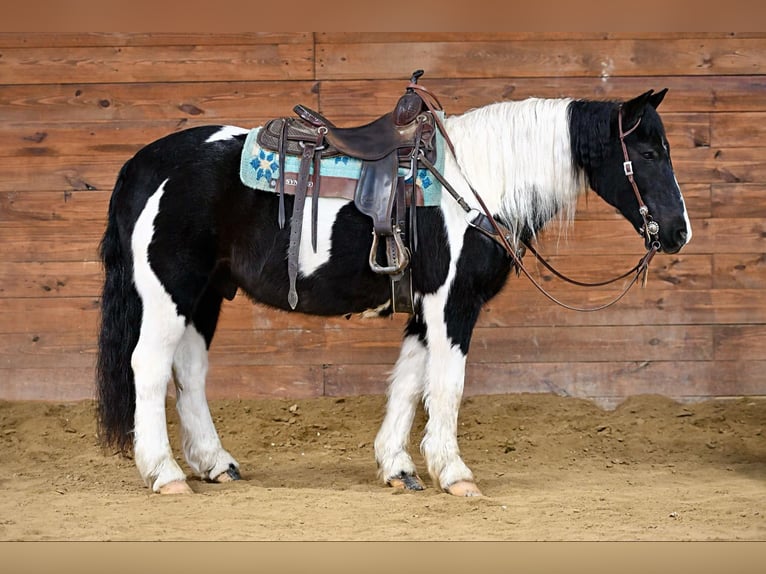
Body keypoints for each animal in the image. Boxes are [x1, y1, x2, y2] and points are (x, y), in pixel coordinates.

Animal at [96, 88, 696, 498]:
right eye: (648, 154)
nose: (678, 232)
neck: (476, 182)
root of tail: (144, 164)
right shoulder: (452, 302)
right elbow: (447, 385)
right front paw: (454, 474)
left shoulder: (424, 308)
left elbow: (409, 382)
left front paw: (398, 466)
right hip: (169, 292)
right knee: (149, 366)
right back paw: (166, 473)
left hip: (203, 296)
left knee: (189, 371)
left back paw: (216, 463)